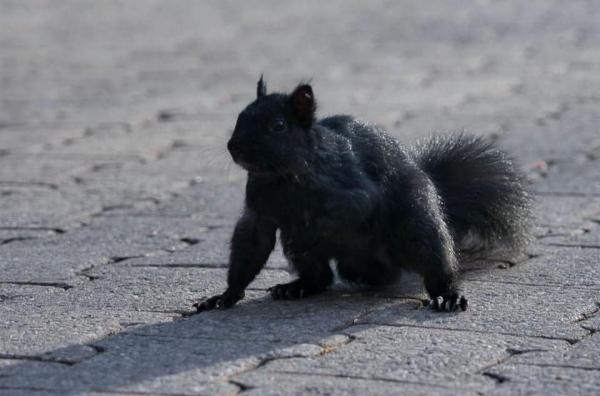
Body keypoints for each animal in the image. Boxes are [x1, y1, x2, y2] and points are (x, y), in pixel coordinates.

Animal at [195, 76, 532, 312]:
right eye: (240, 116)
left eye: (278, 126)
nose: (234, 146)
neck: (281, 178)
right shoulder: (259, 211)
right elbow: (251, 245)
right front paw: (226, 296)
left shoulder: (349, 185)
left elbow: (355, 206)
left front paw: (308, 233)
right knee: (322, 276)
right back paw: (297, 286)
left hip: (416, 224)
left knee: (434, 260)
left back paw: (447, 295)